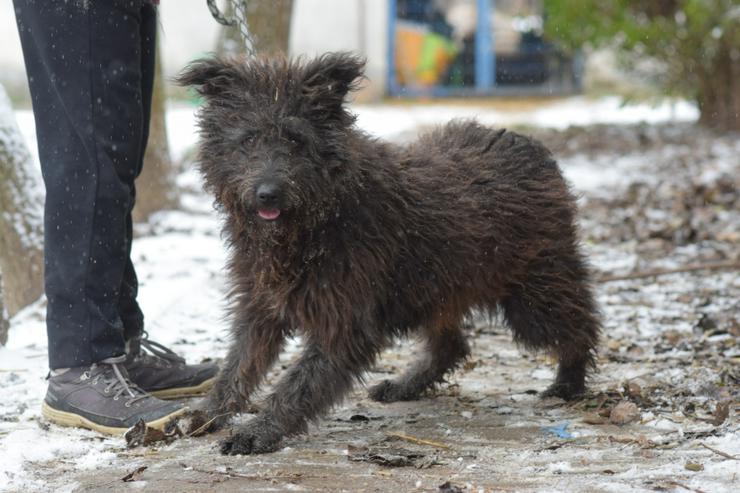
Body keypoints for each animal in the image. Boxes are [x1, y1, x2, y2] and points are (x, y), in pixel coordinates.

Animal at [178, 52, 600, 454]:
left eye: (296, 140)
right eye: (248, 140)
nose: (267, 193)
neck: (319, 221)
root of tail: (527, 145)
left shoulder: (344, 320)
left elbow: (299, 382)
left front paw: (260, 431)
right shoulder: (260, 306)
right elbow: (238, 366)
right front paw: (206, 414)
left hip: (533, 291)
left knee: (579, 326)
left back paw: (569, 383)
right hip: (434, 288)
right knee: (452, 344)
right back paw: (406, 385)